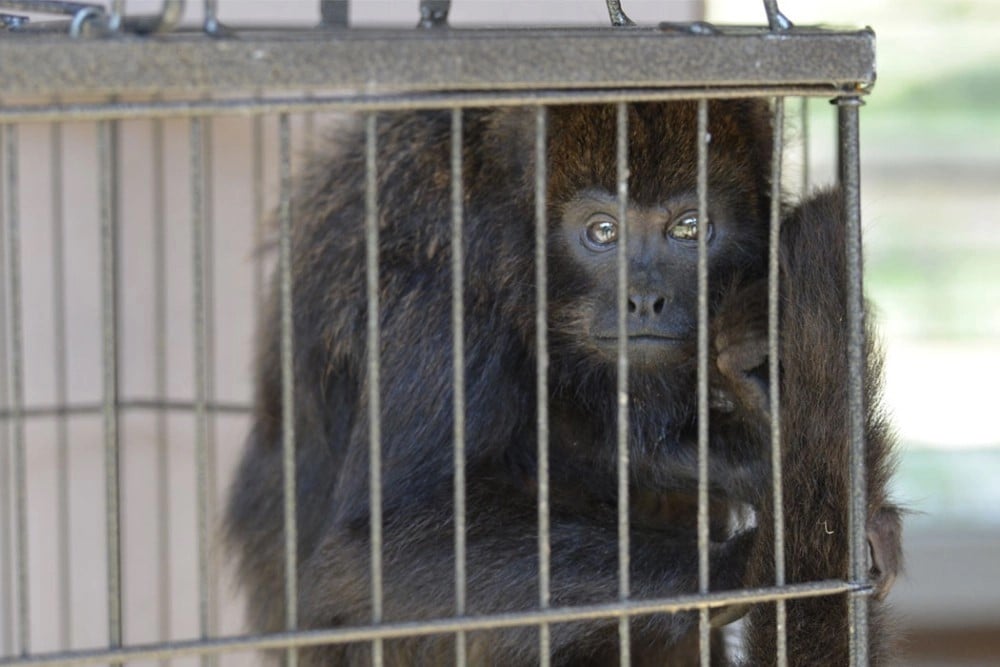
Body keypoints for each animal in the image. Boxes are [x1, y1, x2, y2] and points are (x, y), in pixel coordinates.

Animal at [227, 102, 908, 664]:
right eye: (602, 232)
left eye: (689, 228)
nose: (644, 299)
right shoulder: (433, 283)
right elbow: (371, 545)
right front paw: (744, 568)